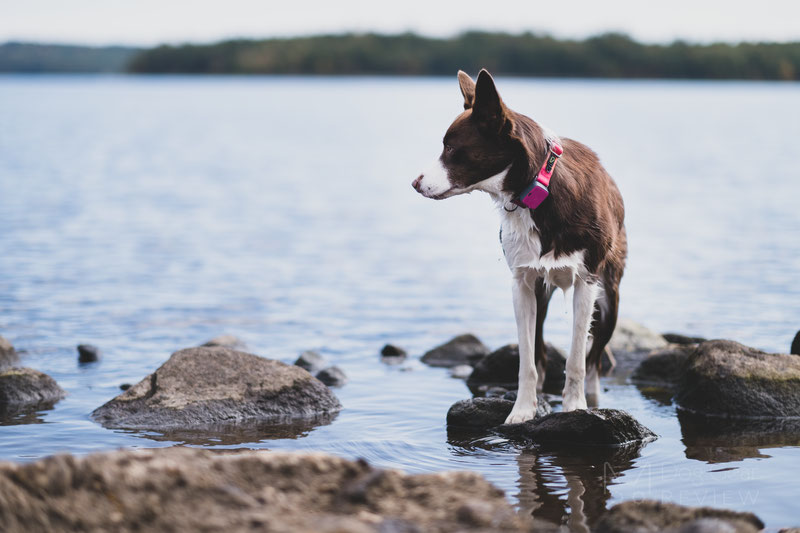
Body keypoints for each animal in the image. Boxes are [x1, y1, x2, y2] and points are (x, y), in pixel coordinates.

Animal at [412, 68, 624, 422]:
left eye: (452, 149)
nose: (414, 183)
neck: (538, 188)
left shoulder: (587, 283)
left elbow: (576, 359)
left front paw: (574, 408)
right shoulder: (522, 284)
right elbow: (527, 359)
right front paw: (523, 410)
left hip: (610, 301)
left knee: (595, 359)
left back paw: (592, 398)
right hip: (543, 295)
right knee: (540, 351)